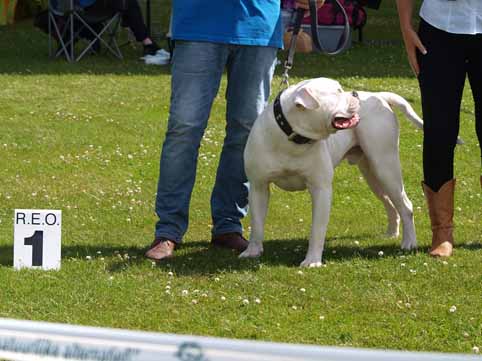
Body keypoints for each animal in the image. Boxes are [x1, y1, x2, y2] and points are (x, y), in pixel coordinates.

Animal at [241, 77, 422, 266]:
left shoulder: (321, 189)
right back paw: (391, 233)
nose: (355, 93)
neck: (292, 137)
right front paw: (252, 251)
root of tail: (379, 96)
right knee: (390, 203)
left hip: (386, 167)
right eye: (337, 91)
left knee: (405, 206)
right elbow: (257, 224)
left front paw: (312, 261)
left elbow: (317, 229)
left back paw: (409, 242)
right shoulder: (258, 187)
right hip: (373, 174)